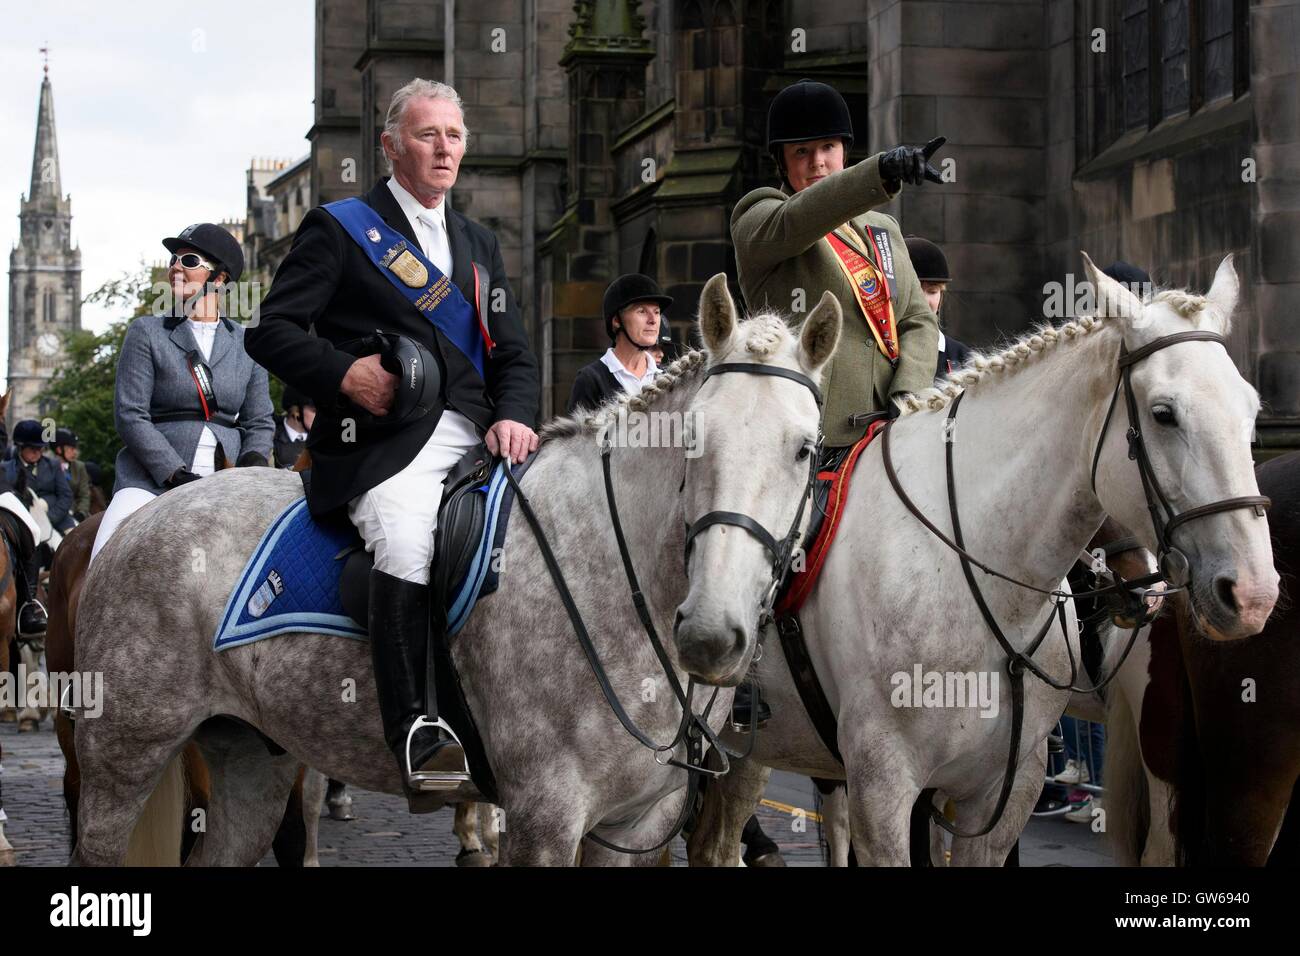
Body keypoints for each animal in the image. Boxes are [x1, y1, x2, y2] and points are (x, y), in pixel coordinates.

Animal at [71, 274, 842, 868]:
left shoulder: (636, 824)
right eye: (693, 442)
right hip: (123, 754)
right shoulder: (547, 814)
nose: (711, 634)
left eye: (806, 449)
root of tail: (141, 515)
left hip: (251, 758)